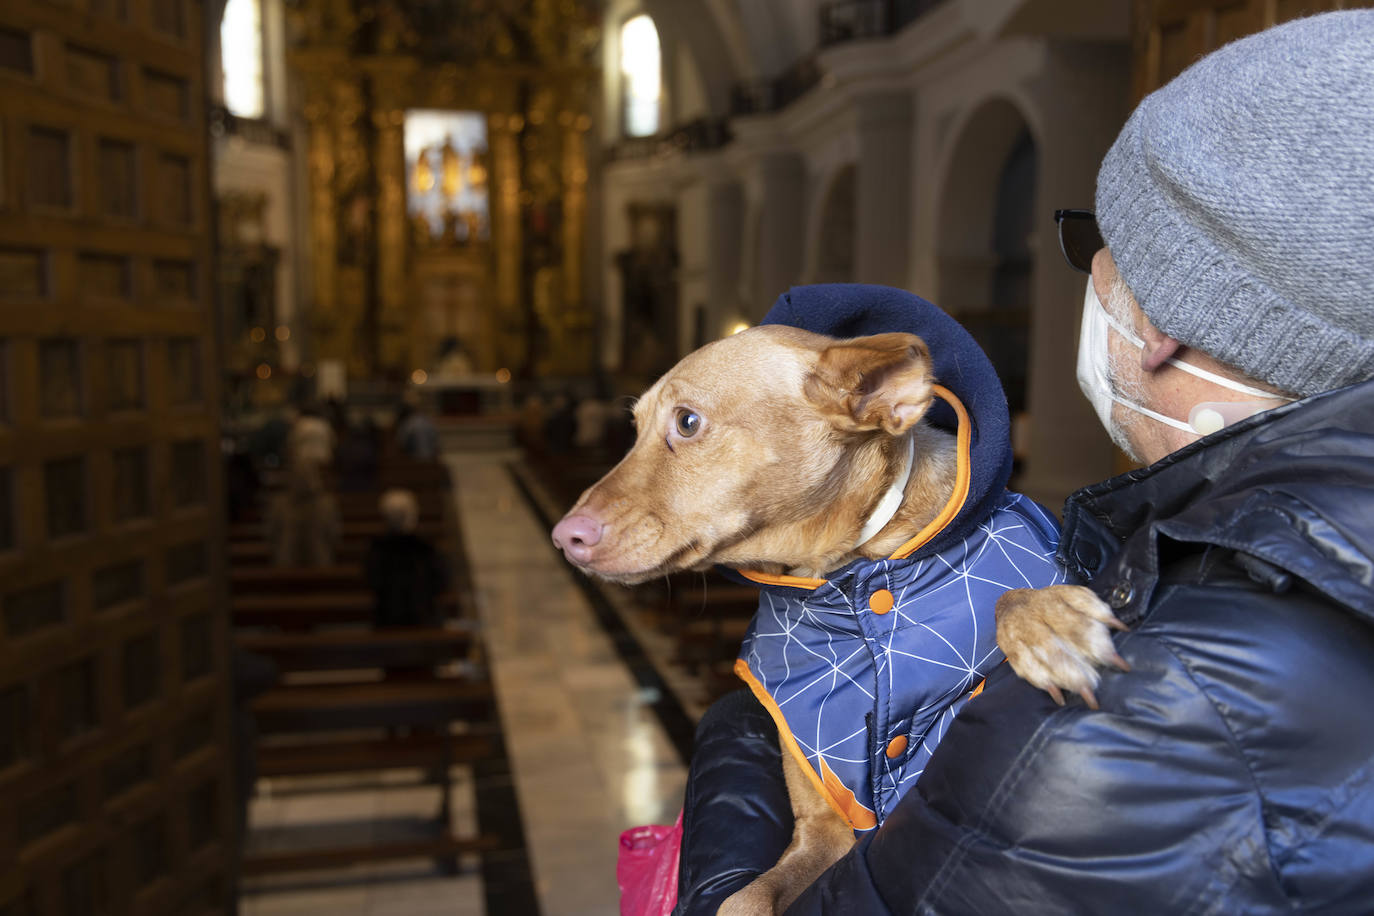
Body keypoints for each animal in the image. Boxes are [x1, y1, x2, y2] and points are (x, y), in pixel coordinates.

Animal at [549, 325, 1126, 911]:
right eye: (635, 429)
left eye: (687, 422)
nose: (563, 538)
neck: (849, 571)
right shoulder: (825, 833)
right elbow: (741, 900)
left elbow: (1013, 593)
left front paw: (1050, 622)